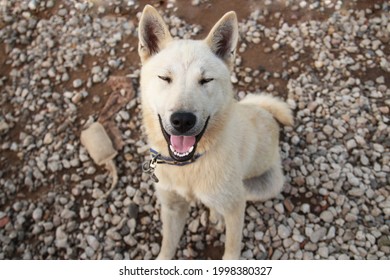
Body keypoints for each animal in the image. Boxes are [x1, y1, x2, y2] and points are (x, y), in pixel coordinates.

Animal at [137, 4, 292, 260]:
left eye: (206, 80)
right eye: (165, 78)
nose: (182, 120)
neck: (189, 166)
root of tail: (263, 111)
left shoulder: (235, 209)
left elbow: (232, 248)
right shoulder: (171, 208)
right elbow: (167, 247)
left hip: (261, 188)